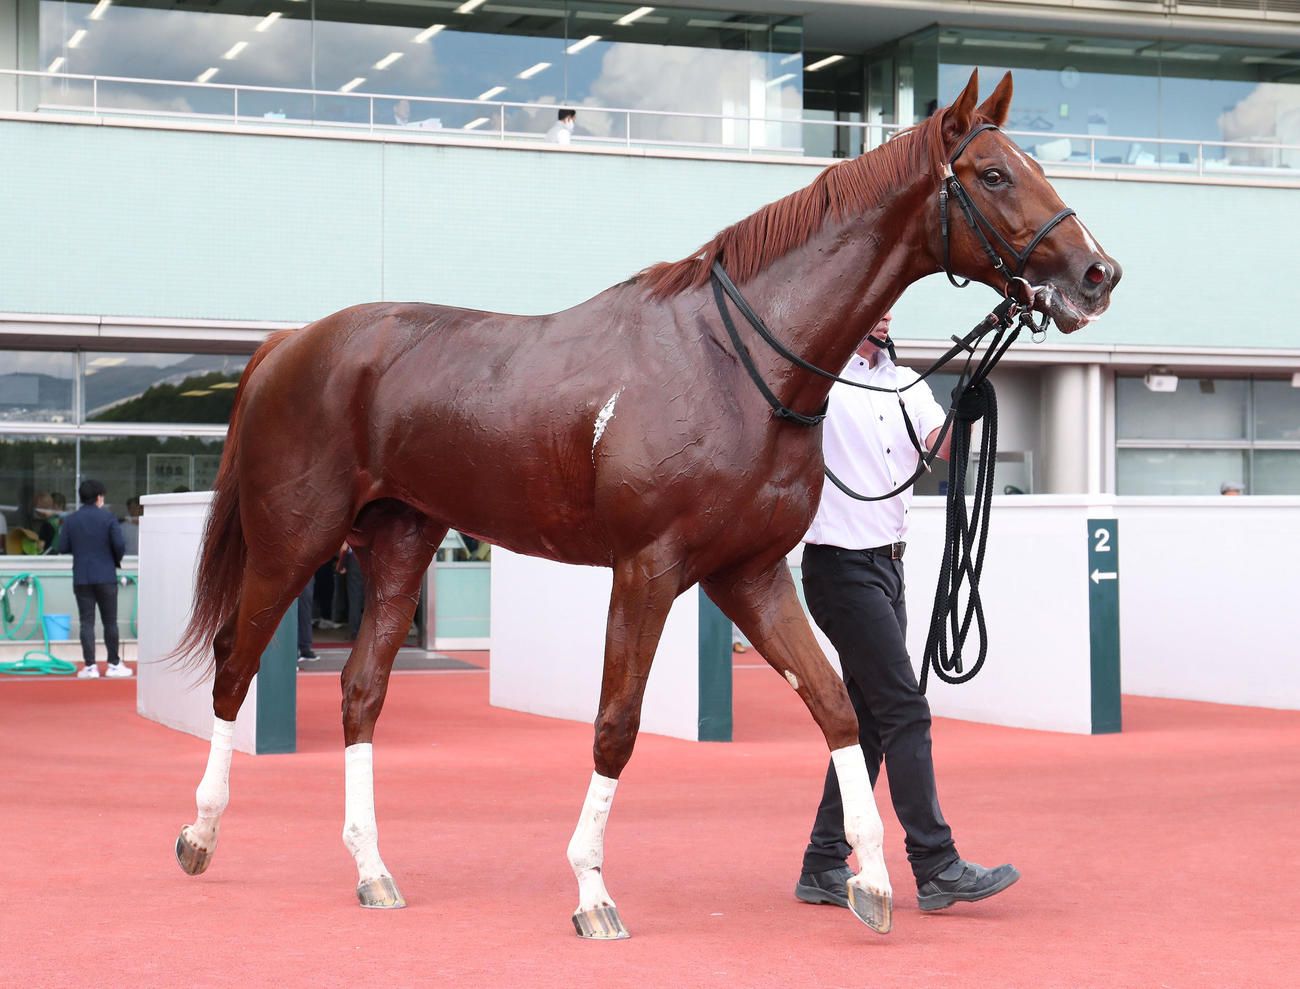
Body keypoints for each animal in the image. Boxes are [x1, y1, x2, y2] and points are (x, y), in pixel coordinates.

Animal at [170, 70, 1120, 938]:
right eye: (993, 174)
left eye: (1036, 163)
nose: (1097, 272)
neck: (738, 366)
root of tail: (291, 343)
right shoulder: (647, 568)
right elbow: (616, 725)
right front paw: (592, 891)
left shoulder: (752, 574)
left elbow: (836, 705)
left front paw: (874, 881)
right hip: (293, 542)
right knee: (232, 664)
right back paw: (200, 835)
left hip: (401, 544)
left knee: (361, 690)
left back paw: (372, 869)